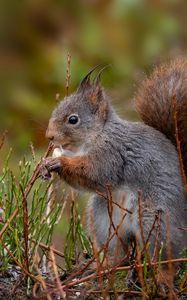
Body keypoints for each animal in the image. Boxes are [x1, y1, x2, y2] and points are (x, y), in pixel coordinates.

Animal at [40, 58, 187, 268]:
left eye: (73, 119)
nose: (49, 136)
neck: (97, 135)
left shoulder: (111, 153)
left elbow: (95, 173)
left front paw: (59, 161)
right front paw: (45, 163)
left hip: (154, 219)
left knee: (163, 254)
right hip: (103, 220)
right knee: (118, 251)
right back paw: (107, 264)